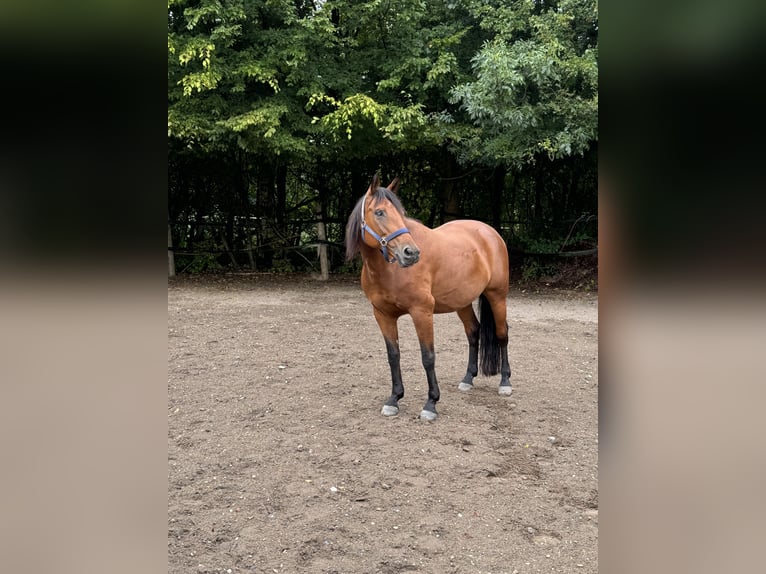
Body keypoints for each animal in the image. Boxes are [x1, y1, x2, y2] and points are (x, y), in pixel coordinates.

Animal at [345, 174, 512, 421]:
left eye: (400, 213)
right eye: (379, 212)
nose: (411, 253)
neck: (389, 270)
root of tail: (490, 233)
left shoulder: (421, 312)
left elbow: (428, 356)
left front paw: (431, 403)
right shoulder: (382, 314)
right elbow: (393, 356)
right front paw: (394, 399)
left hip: (497, 296)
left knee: (502, 334)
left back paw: (505, 382)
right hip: (462, 302)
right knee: (473, 332)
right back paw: (468, 379)